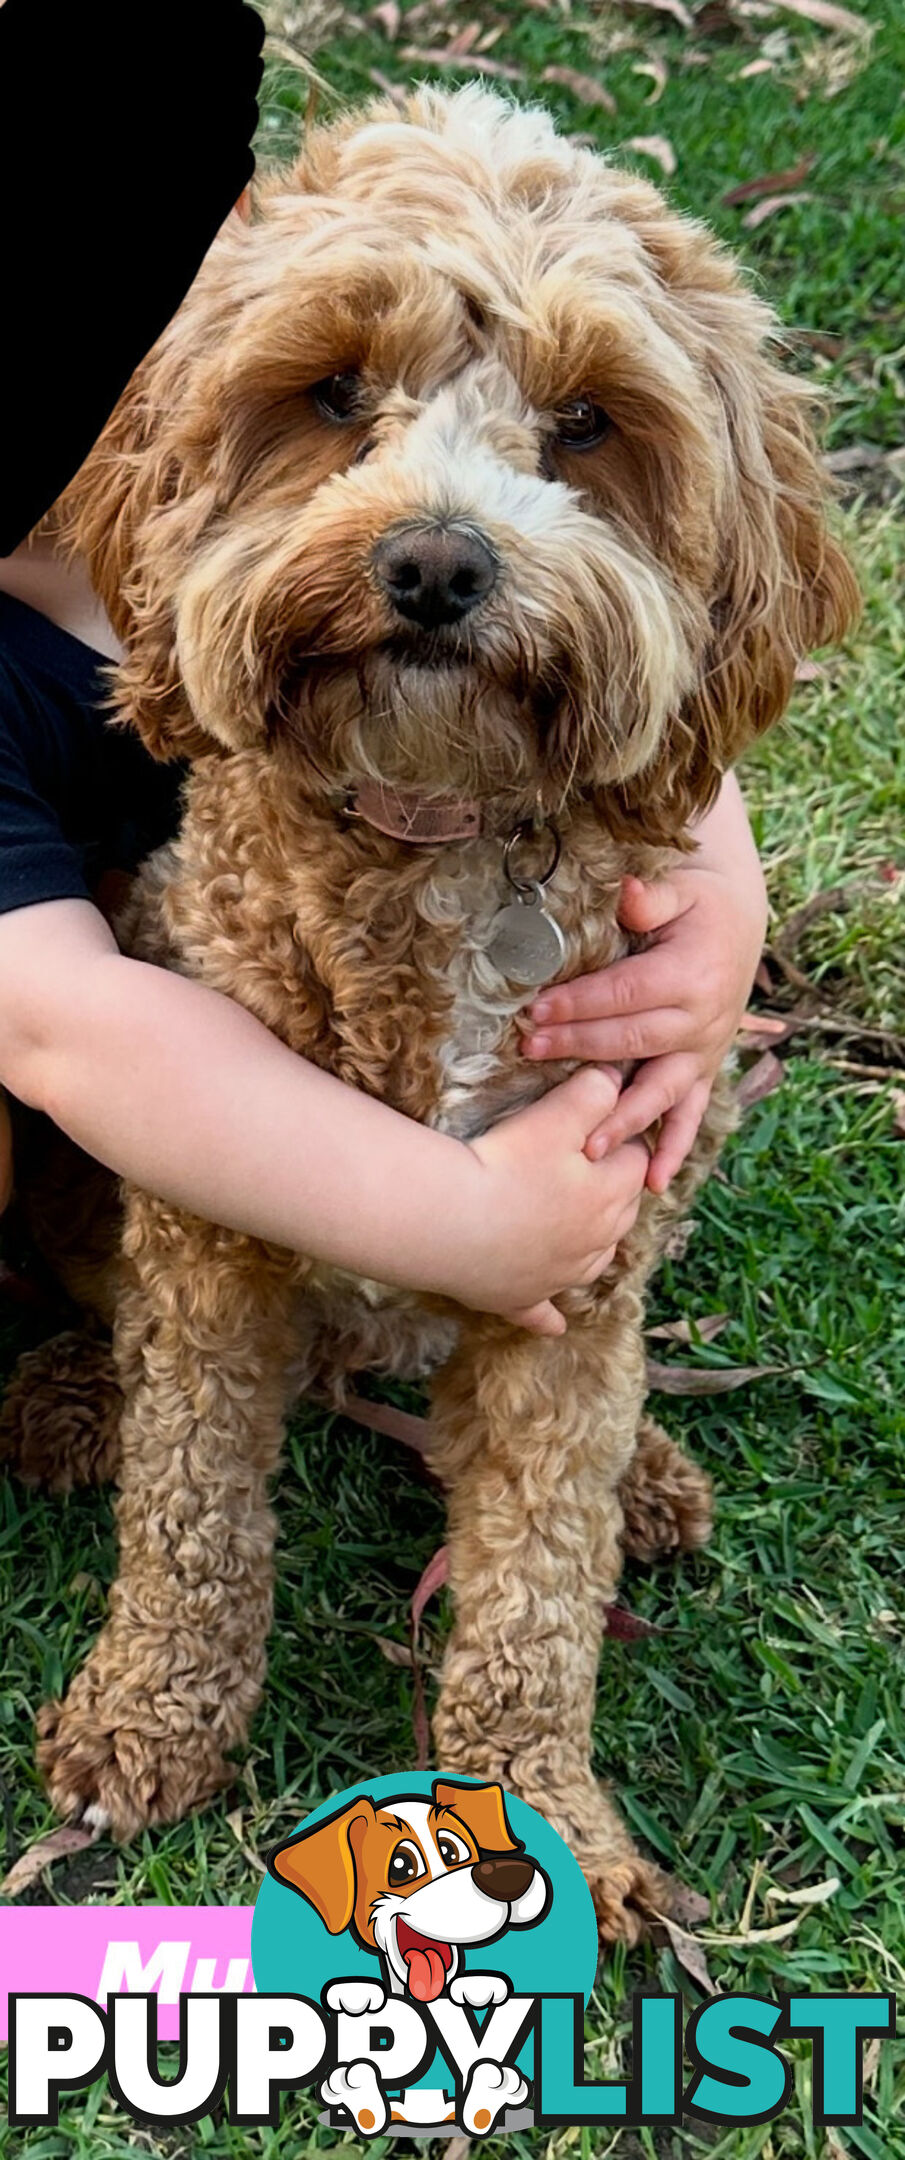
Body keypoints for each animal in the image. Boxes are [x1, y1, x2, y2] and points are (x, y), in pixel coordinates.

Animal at [3, 88, 859, 1944]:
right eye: (333, 393)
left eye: (588, 421)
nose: (435, 562)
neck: (438, 835)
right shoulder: (213, 1243)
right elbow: (193, 1509)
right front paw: (146, 1715)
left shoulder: (585, 1259)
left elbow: (536, 1583)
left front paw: (550, 1816)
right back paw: (70, 1401)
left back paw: (651, 1474)